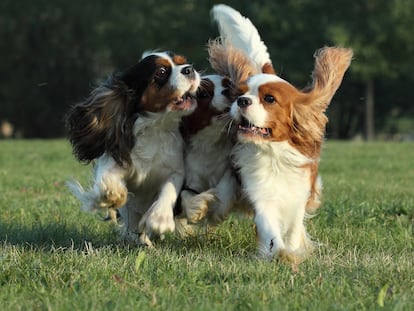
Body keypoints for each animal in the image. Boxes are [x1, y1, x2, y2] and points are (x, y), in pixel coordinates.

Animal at [65, 50, 201, 246]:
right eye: (161, 72)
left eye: (183, 62)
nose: (189, 69)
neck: (156, 127)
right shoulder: (117, 160)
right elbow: (106, 179)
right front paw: (112, 193)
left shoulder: (176, 170)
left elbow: (169, 189)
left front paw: (160, 219)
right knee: (133, 223)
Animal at [230, 46, 352, 262]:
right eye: (239, 93)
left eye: (269, 99)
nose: (241, 100)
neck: (274, 155)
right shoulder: (262, 195)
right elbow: (270, 228)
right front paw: (279, 253)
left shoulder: (299, 194)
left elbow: (294, 228)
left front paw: (293, 251)